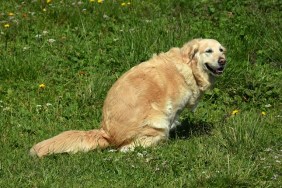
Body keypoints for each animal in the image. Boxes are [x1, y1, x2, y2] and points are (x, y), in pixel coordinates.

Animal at [29, 38, 226, 157]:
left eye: (221, 50)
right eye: (209, 51)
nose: (223, 61)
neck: (188, 66)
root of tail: (106, 133)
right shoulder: (171, 110)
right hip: (157, 121)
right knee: (128, 147)